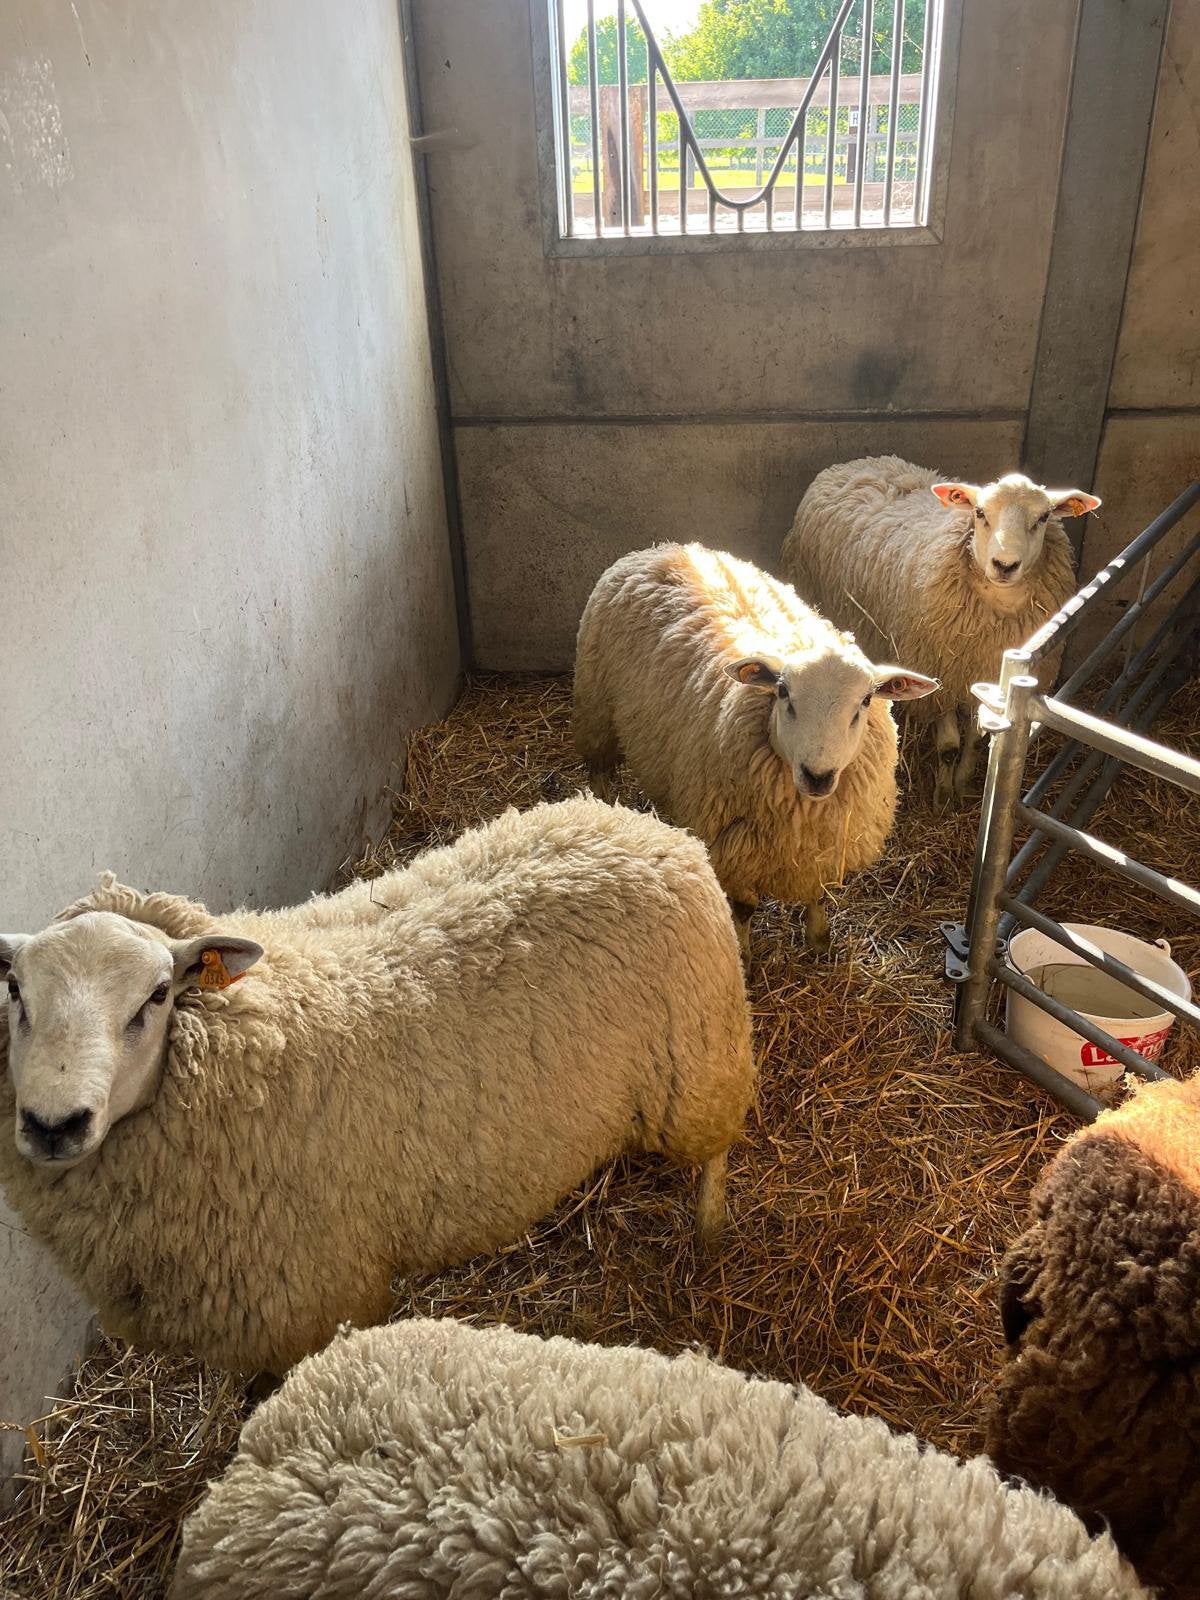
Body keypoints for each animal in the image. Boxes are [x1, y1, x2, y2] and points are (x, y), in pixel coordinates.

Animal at [0, 796, 755, 1377]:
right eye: (14, 992)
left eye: (156, 996)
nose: (53, 1124)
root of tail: (645, 825)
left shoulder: (310, 1304)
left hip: (700, 1065)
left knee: (717, 1152)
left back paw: (711, 1231)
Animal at [573, 542, 937, 956]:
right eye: (783, 692)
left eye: (865, 700)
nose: (818, 775)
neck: (803, 812)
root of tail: (660, 549)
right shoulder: (732, 845)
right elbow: (744, 908)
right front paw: (744, 954)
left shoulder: (824, 847)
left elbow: (818, 894)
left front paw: (819, 940)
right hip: (596, 708)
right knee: (599, 770)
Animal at [781, 457, 1099, 805]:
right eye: (980, 513)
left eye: (1043, 518)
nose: (1004, 565)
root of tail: (854, 463)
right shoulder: (939, 674)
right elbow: (948, 746)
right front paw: (943, 795)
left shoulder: (986, 680)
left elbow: (974, 741)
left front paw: (962, 784)